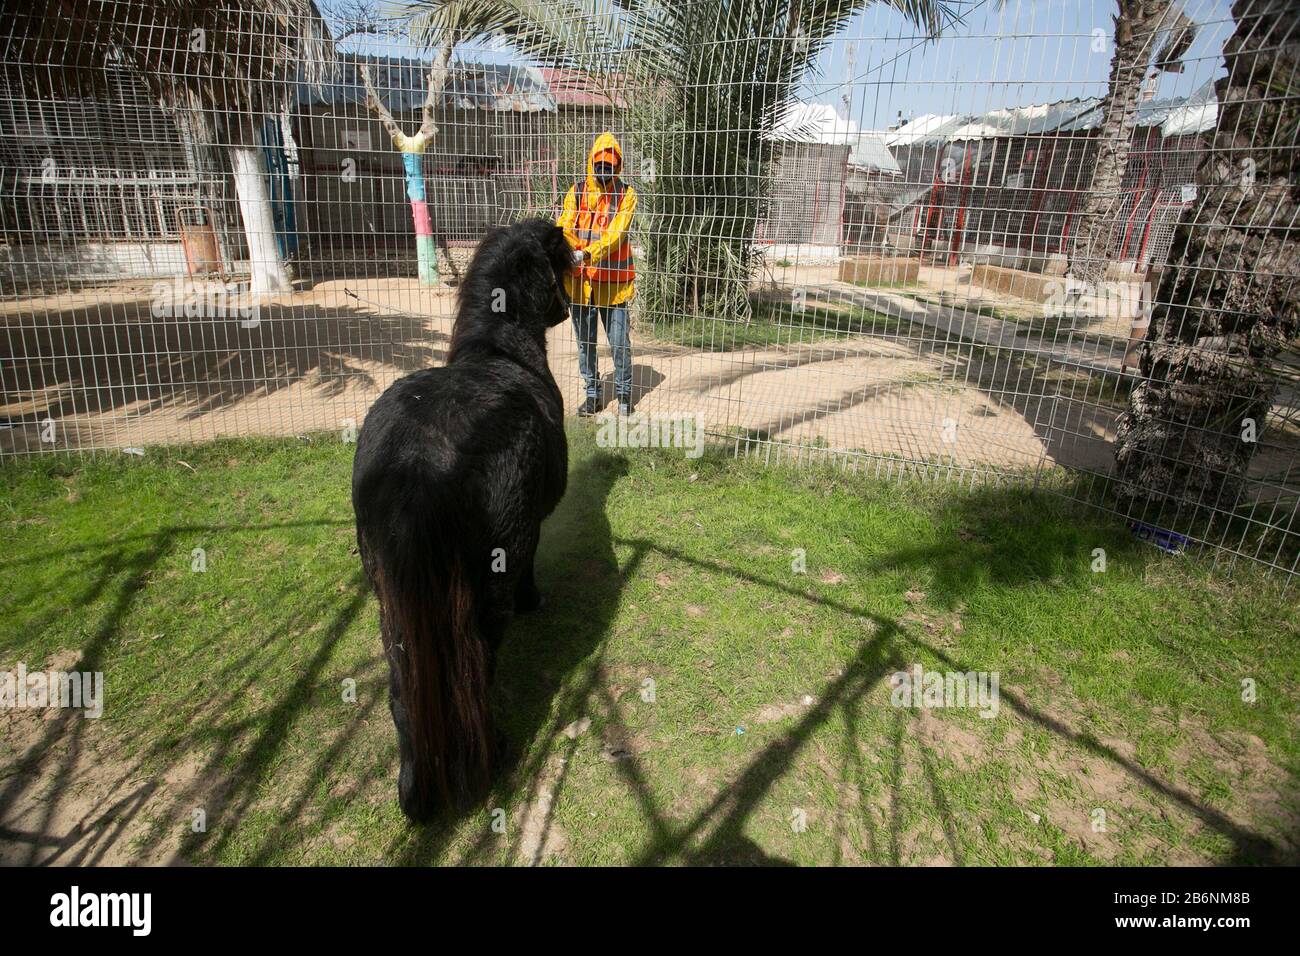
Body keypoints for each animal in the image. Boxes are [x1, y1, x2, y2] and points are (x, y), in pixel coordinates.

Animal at [351, 218, 574, 822]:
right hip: (487, 588)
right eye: (566, 260)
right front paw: (536, 599)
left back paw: (415, 792)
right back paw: (492, 752)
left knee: (403, 688)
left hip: (387, 596)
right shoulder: (530, 530)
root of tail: (420, 458)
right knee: (477, 669)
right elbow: (533, 566)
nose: (568, 310)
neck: (499, 351)